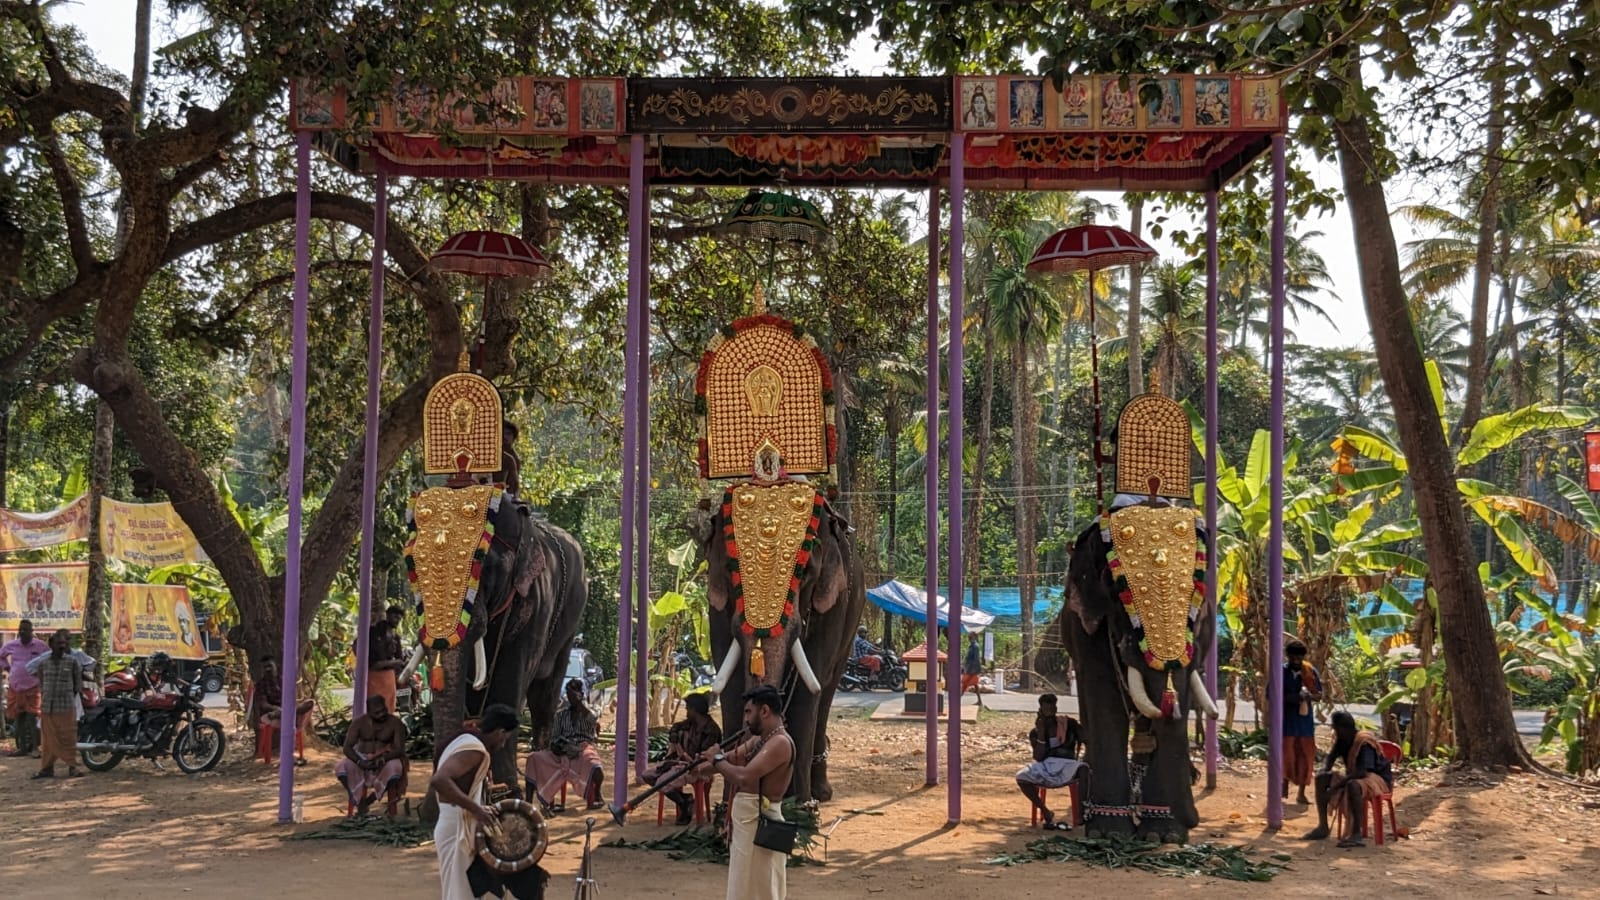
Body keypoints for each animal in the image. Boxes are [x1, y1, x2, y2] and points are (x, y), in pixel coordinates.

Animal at [697, 483, 864, 797]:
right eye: (730, 568)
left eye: (806, 572)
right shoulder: (716, 606)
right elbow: (730, 683)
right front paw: (726, 804)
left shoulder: (834, 603)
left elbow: (810, 687)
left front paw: (800, 805)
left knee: (827, 687)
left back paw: (820, 793)